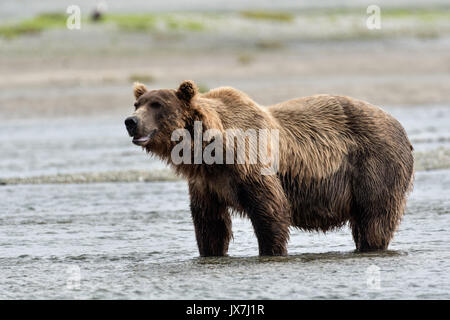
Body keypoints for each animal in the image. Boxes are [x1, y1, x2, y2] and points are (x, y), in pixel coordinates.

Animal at [124, 80, 414, 258]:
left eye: (157, 105)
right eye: (138, 104)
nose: (130, 121)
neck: (211, 152)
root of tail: (399, 125)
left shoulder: (251, 166)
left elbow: (270, 211)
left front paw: (271, 251)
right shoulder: (206, 183)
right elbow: (210, 223)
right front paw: (210, 252)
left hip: (376, 164)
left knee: (375, 218)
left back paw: (371, 247)